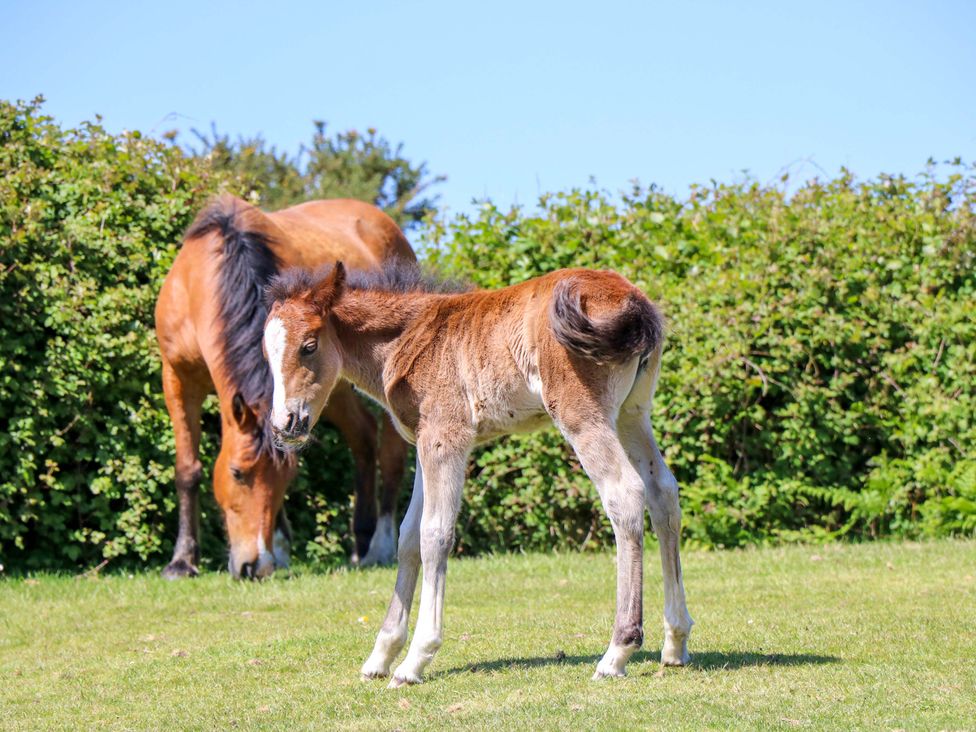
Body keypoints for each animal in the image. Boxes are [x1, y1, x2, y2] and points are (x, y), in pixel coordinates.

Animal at [154, 195, 411, 580]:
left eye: (286, 481)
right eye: (237, 473)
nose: (254, 566)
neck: (201, 280)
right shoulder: (177, 379)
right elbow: (188, 470)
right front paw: (182, 561)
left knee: (390, 455)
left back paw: (378, 545)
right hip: (332, 389)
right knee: (364, 437)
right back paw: (360, 543)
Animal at [261, 260, 693, 685]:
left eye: (309, 346)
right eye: (267, 355)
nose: (284, 424)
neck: (407, 338)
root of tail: (633, 301)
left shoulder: (446, 437)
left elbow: (434, 535)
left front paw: (415, 660)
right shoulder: (423, 443)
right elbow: (407, 536)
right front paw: (381, 656)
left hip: (582, 414)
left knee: (624, 493)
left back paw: (617, 651)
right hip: (632, 414)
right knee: (663, 493)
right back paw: (675, 642)